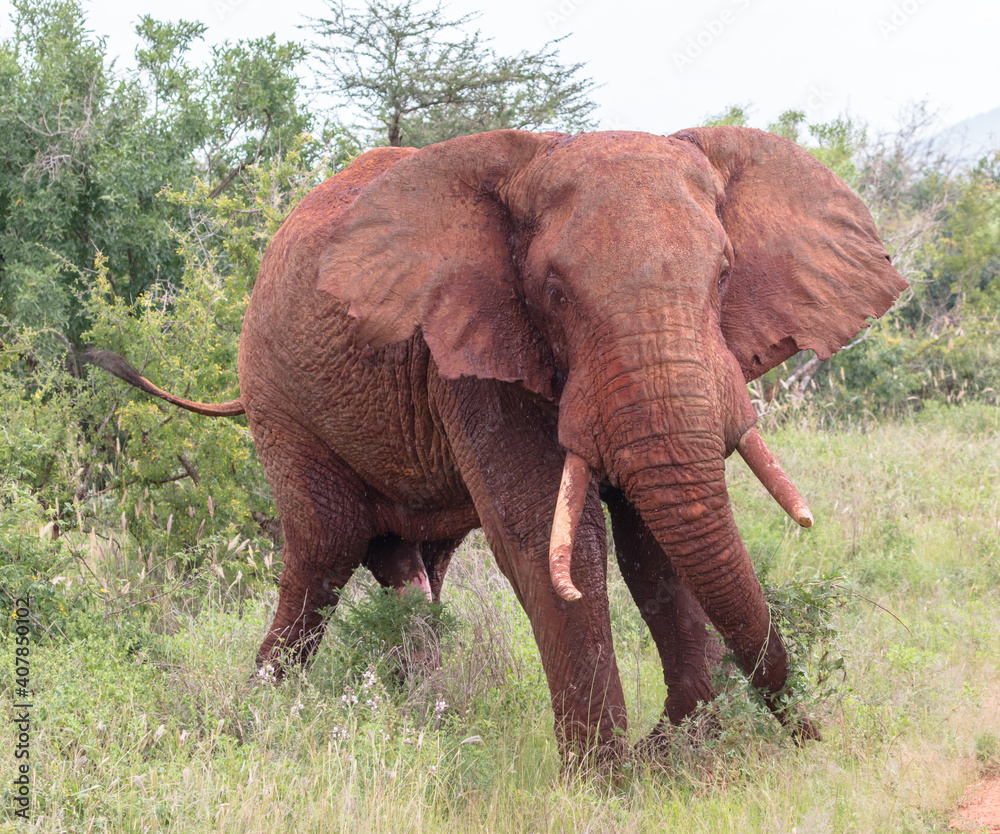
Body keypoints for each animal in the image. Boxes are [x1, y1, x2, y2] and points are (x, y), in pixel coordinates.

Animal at [87, 126, 907, 758]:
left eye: (726, 273)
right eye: (553, 294)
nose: (812, 740)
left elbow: (653, 541)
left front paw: (688, 755)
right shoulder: (473, 351)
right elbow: (550, 537)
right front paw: (613, 785)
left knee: (412, 571)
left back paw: (420, 712)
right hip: (280, 401)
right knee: (322, 553)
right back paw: (259, 717)